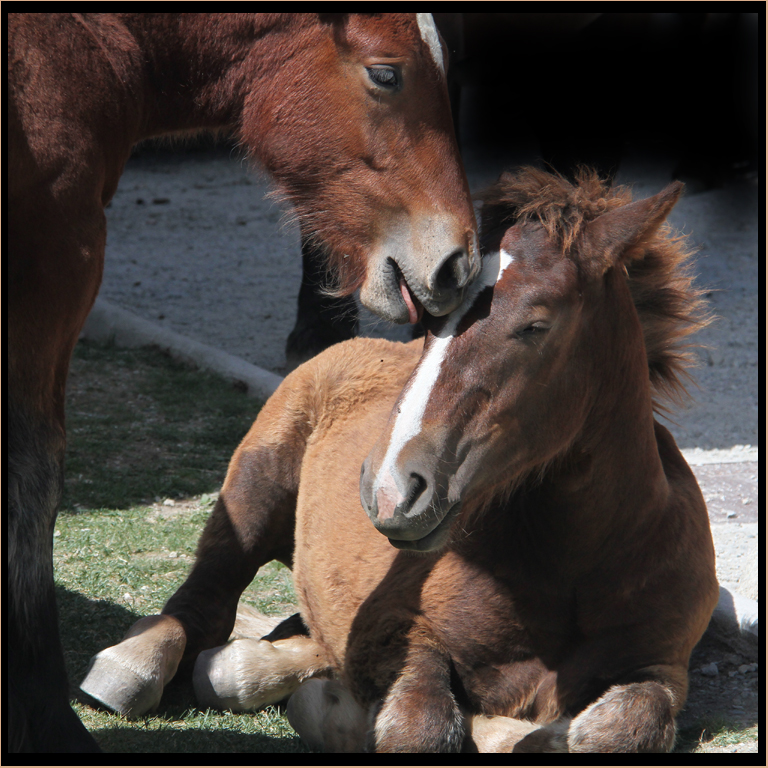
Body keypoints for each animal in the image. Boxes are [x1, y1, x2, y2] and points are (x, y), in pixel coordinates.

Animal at [7, 15, 480, 752]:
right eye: (386, 73)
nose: (459, 262)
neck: (77, 46)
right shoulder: (56, 263)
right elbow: (32, 477)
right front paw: (49, 721)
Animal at [84, 168, 720, 752]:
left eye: (536, 324)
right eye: (430, 322)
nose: (391, 488)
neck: (567, 569)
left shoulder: (661, 665)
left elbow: (612, 730)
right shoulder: (396, 631)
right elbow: (422, 726)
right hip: (254, 486)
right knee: (207, 600)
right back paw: (138, 668)